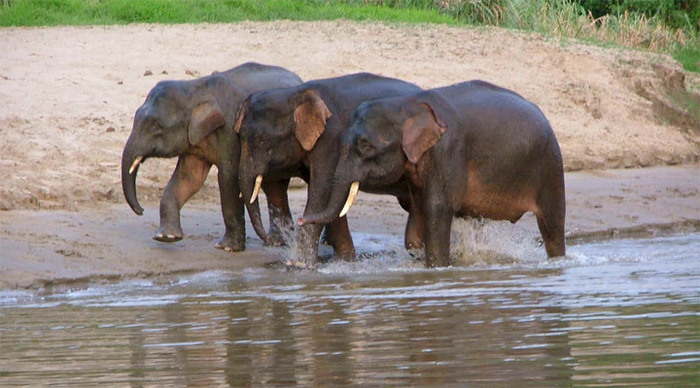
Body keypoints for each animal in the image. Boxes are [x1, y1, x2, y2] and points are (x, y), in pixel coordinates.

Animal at [121, 63, 302, 252]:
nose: (141, 210)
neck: (195, 88)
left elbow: (228, 177)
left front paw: (227, 247)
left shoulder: (231, 130)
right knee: (274, 187)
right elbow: (188, 178)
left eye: (156, 127)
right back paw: (277, 242)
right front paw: (166, 237)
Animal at [234, 73, 422, 266]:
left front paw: (300, 264)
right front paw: (342, 260)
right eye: (239, 137)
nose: (269, 240)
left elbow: (322, 190)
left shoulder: (330, 139)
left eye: (262, 141)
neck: (295, 94)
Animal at [298, 80, 568, 268]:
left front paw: (437, 267)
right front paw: (419, 256)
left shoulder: (448, 151)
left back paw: (557, 262)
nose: (300, 220)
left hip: (551, 166)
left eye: (367, 147)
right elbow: (417, 216)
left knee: (552, 227)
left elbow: (436, 208)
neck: (406, 105)